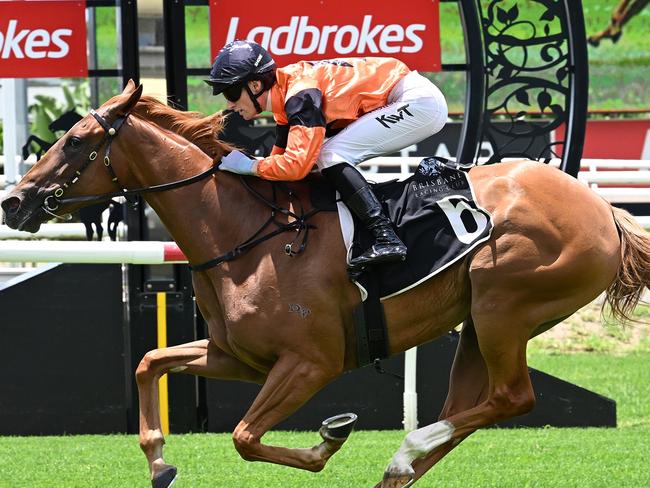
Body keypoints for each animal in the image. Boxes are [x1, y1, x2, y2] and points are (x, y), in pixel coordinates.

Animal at [1, 81, 648, 488]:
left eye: (77, 141)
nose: (14, 201)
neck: (246, 233)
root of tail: (605, 211)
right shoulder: (240, 357)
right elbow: (149, 362)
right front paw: (160, 463)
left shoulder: (311, 363)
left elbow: (244, 436)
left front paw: (329, 439)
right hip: (476, 324)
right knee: (471, 407)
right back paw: (400, 466)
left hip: (505, 308)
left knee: (513, 398)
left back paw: (406, 450)